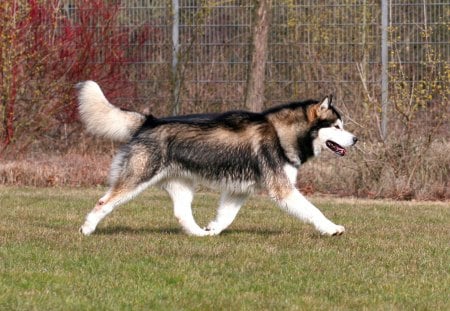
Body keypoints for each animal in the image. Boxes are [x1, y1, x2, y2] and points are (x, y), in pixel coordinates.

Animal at [78, 80, 358, 236]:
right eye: (337, 127)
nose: (355, 139)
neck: (280, 134)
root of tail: (149, 120)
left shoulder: (239, 190)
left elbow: (226, 216)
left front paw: (213, 229)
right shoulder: (283, 190)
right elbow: (313, 210)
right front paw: (332, 228)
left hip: (182, 185)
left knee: (182, 214)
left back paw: (200, 235)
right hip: (137, 177)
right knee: (104, 202)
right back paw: (87, 228)